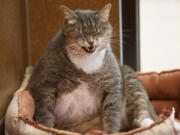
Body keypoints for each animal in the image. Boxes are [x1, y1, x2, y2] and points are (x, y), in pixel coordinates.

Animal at [27, 3, 158, 134]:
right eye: (80, 31)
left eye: (98, 30)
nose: (91, 42)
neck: (86, 62)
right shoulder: (45, 85)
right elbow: (45, 114)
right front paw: (46, 129)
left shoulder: (112, 85)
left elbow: (112, 116)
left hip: (131, 81)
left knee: (142, 113)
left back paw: (151, 124)